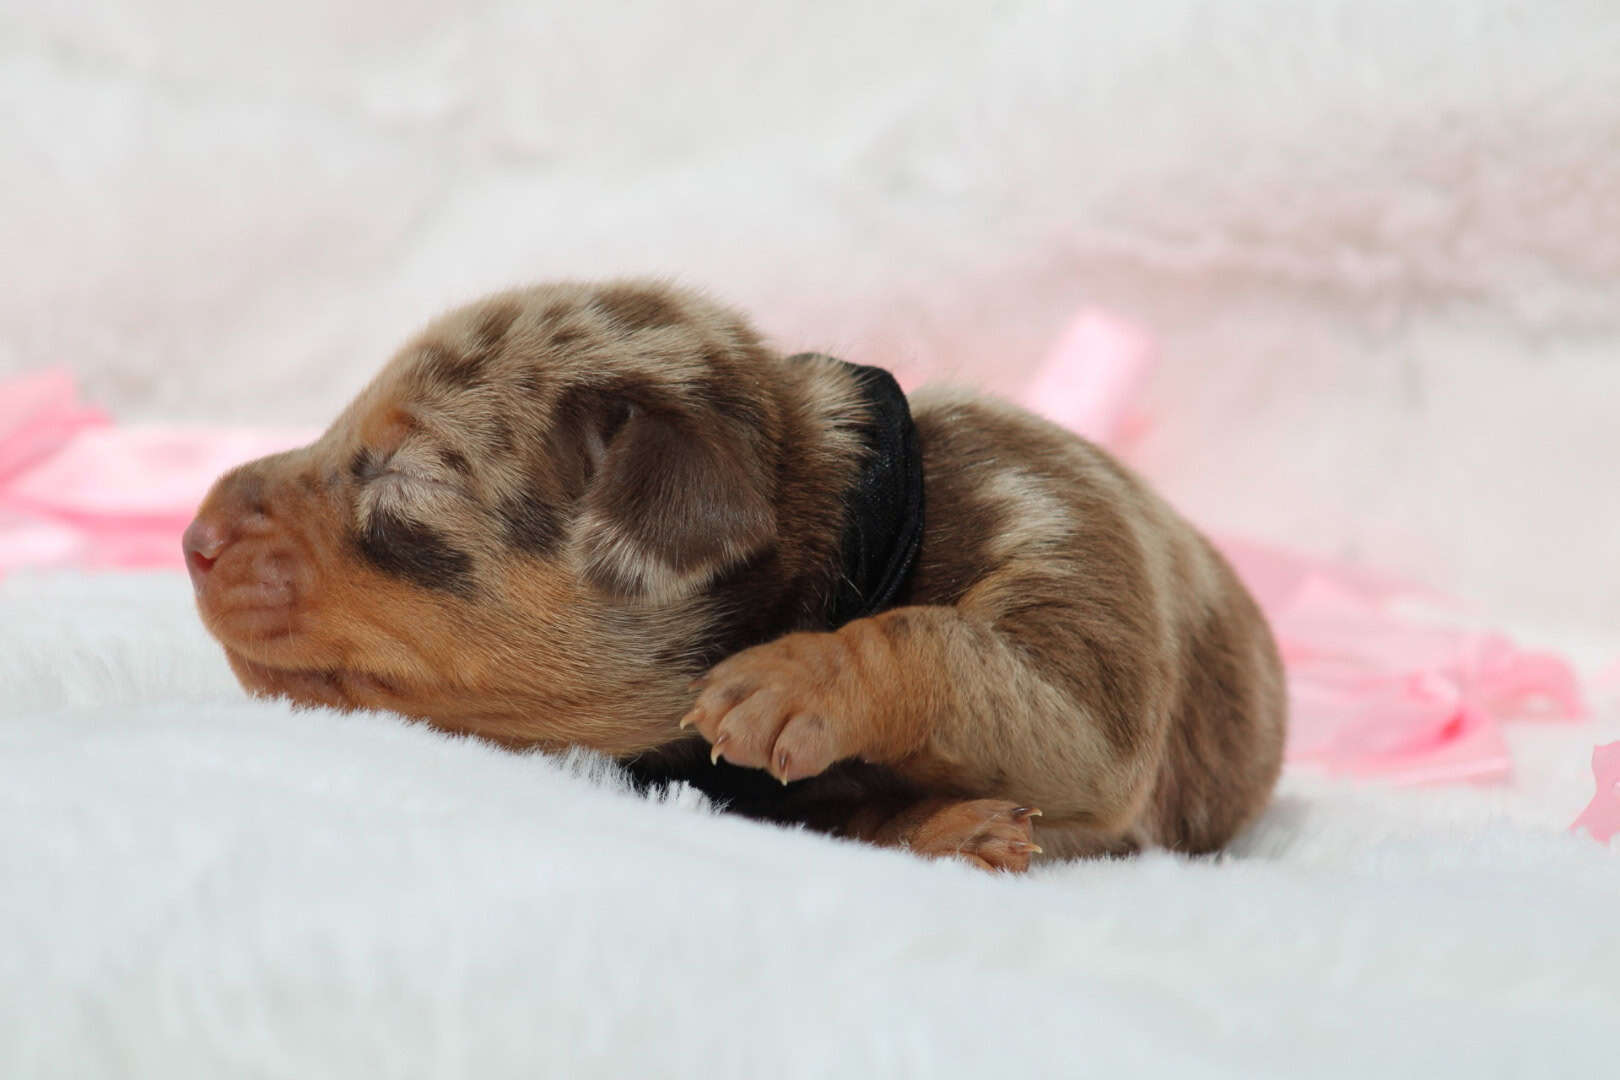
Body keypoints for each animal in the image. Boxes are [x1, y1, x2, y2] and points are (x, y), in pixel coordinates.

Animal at [183, 278, 1283, 867]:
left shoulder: (1069, 560)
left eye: (401, 477)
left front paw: (797, 682)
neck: (865, 524)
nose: (192, 534)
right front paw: (954, 828)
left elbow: (1022, 688)